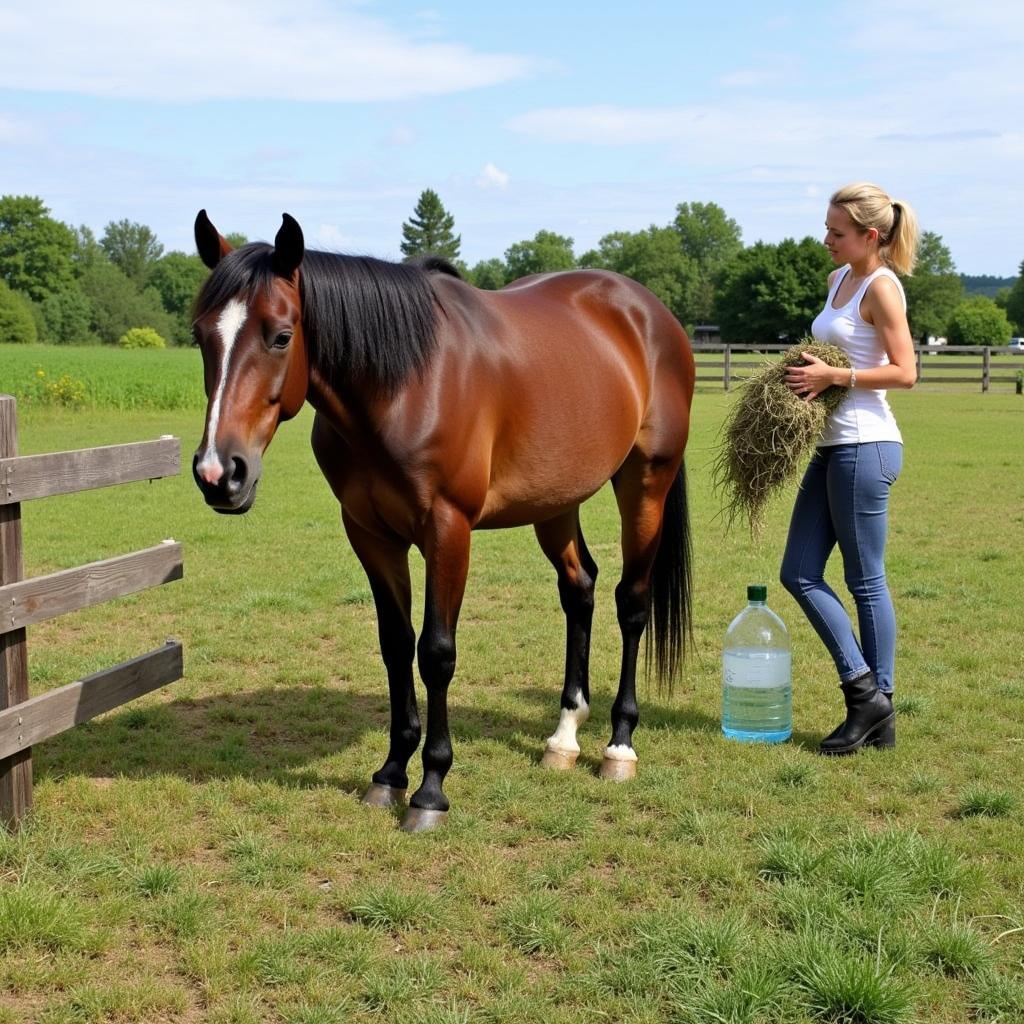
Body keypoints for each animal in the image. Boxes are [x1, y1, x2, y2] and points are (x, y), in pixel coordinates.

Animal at [192, 209, 696, 831]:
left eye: (281, 335)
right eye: (200, 335)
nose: (220, 473)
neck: (406, 383)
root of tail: (649, 312)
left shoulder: (447, 530)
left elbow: (435, 652)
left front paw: (430, 788)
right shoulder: (370, 534)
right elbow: (395, 643)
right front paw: (390, 773)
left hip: (646, 483)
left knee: (633, 602)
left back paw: (619, 745)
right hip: (556, 502)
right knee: (580, 590)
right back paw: (563, 737)